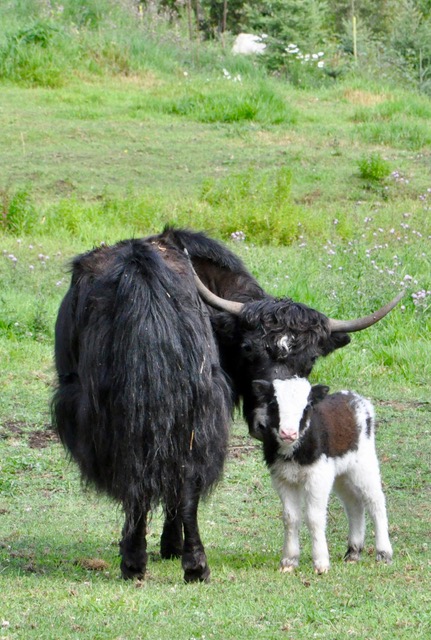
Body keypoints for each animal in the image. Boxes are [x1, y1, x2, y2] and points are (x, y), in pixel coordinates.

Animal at [52, 226, 401, 582]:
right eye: (249, 349)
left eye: (310, 359)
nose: (268, 425)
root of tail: (145, 285)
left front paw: (167, 547)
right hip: (197, 412)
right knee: (184, 483)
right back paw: (193, 565)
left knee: (146, 482)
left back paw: (138, 561)